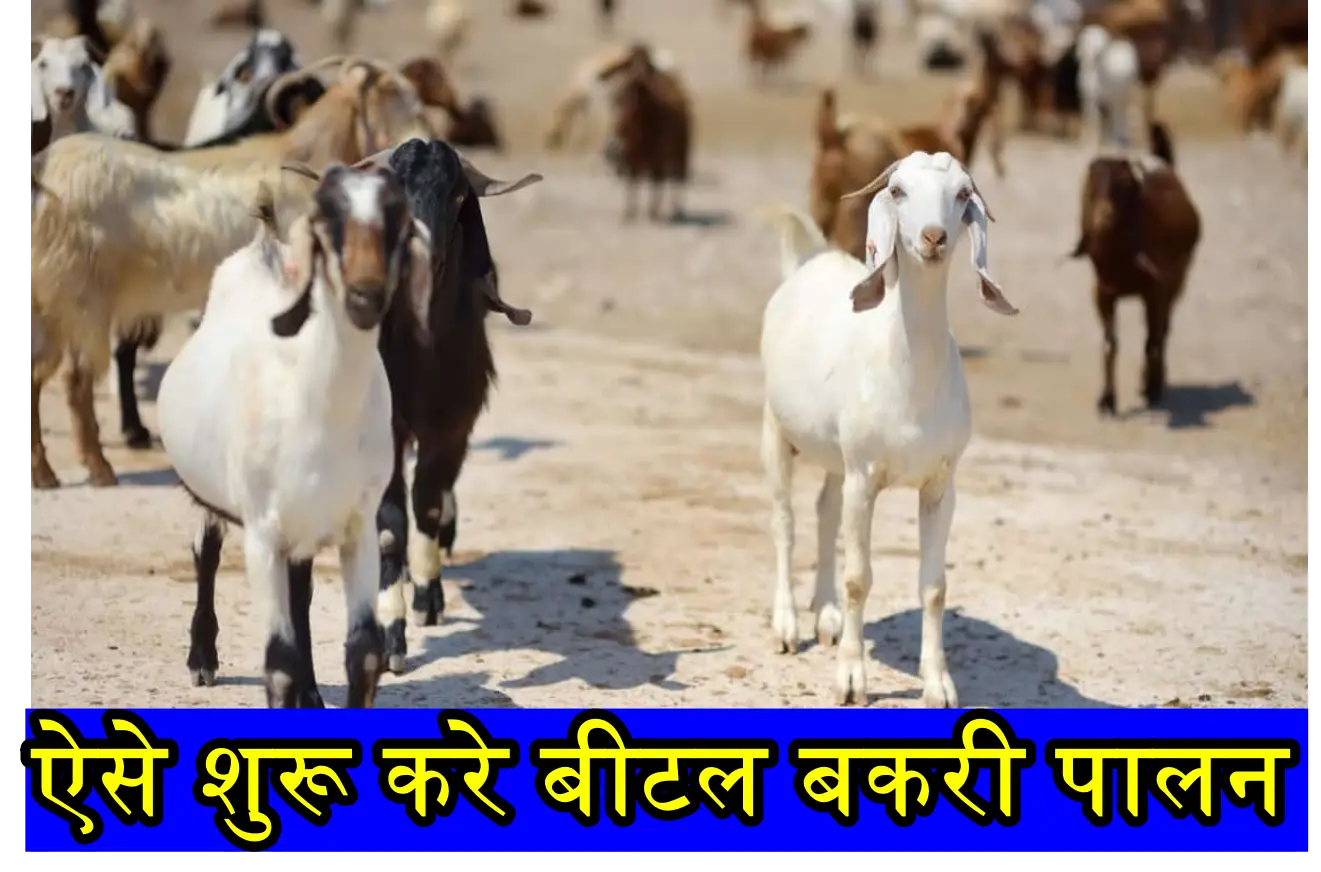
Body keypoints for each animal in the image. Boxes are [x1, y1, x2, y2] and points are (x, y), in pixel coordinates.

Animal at [156, 163, 431, 708]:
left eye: (397, 220)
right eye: (327, 221)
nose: (365, 294)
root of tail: (261, 250)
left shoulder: (357, 523)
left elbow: (364, 652)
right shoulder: (263, 532)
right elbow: (278, 663)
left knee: (300, 588)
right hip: (216, 496)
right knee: (206, 552)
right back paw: (202, 658)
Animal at [282, 140, 541, 675]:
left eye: (459, 195)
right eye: (393, 196)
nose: (426, 254)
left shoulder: (452, 424)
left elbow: (428, 504)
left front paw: (426, 597)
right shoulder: (386, 430)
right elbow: (390, 526)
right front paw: (391, 636)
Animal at [600, 44, 693, 221]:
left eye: (626, 97)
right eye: (610, 100)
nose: (611, 148)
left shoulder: (659, 160)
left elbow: (656, 186)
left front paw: (653, 214)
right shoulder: (630, 162)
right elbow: (631, 187)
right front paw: (629, 214)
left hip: (681, 152)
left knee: (678, 178)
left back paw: (677, 209)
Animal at [759, 150, 1016, 706]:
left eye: (963, 193)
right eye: (897, 191)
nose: (934, 238)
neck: (910, 376)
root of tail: (809, 262)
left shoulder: (940, 483)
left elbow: (934, 586)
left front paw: (938, 683)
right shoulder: (865, 477)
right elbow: (860, 578)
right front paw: (851, 679)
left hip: (837, 457)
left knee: (825, 512)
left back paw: (826, 617)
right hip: (775, 429)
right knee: (785, 521)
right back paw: (787, 626)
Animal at [1067, 121, 1199, 415]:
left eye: (1125, 185)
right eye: (1091, 187)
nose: (1104, 216)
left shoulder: (1156, 291)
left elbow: (1152, 339)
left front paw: (1151, 390)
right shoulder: (1103, 293)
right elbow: (1110, 342)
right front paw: (1106, 400)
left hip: (1177, 284)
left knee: (1162, 332)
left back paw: (1153, 383)